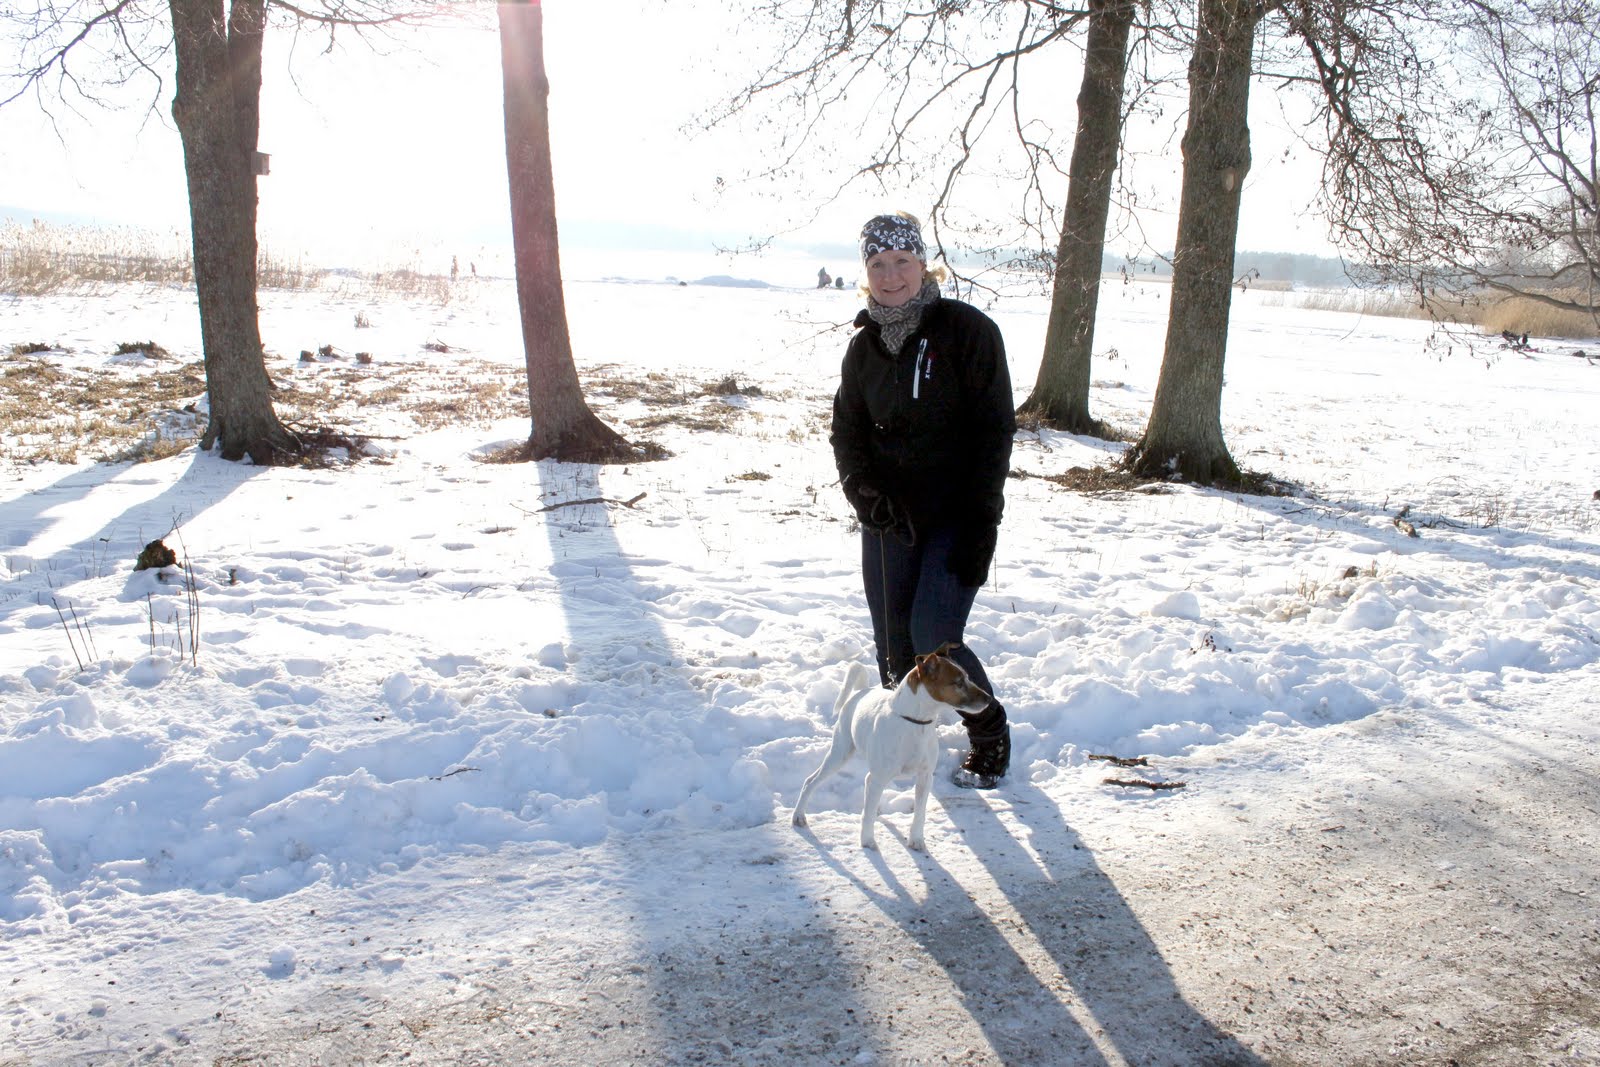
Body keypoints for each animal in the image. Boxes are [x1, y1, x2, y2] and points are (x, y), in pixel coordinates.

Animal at [792, 646, 993, 851]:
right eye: (958, 683)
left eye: (968, 677)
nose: (989, 699)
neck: (915, 723)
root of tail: (861, 692)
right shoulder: (877, 777)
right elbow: (867, 816)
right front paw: (867, 840)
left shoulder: (925, 777)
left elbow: (919, 813)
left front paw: (916, 839)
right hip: (840, 753)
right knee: (810, 781)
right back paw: (799, 815)